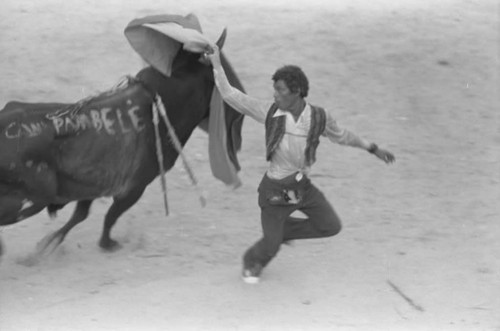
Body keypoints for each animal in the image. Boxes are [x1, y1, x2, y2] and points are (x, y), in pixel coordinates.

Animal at [0, 22, 244, 256]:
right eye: (222, 73)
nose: (238, 93)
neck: (163, 101)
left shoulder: (94, 184)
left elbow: (81, 214)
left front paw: (48, 245)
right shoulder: (134, 187)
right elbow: (111, 215)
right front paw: (107, 243)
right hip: (34, 199)